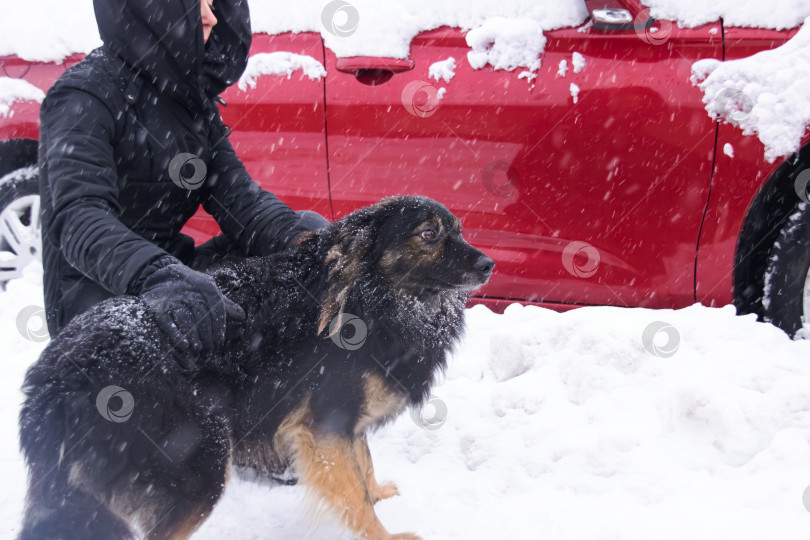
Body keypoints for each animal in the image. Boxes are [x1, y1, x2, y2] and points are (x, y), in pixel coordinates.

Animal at [17, 196, 492, 540]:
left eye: (459, 230)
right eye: (429, 233)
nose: (488, 264)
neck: (371, 297)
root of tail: (56, 377)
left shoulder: (344, 420)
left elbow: (365, 465)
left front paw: (381, 495)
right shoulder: (326, 421)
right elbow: (353, 494)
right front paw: (385, 534)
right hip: (199, 464)